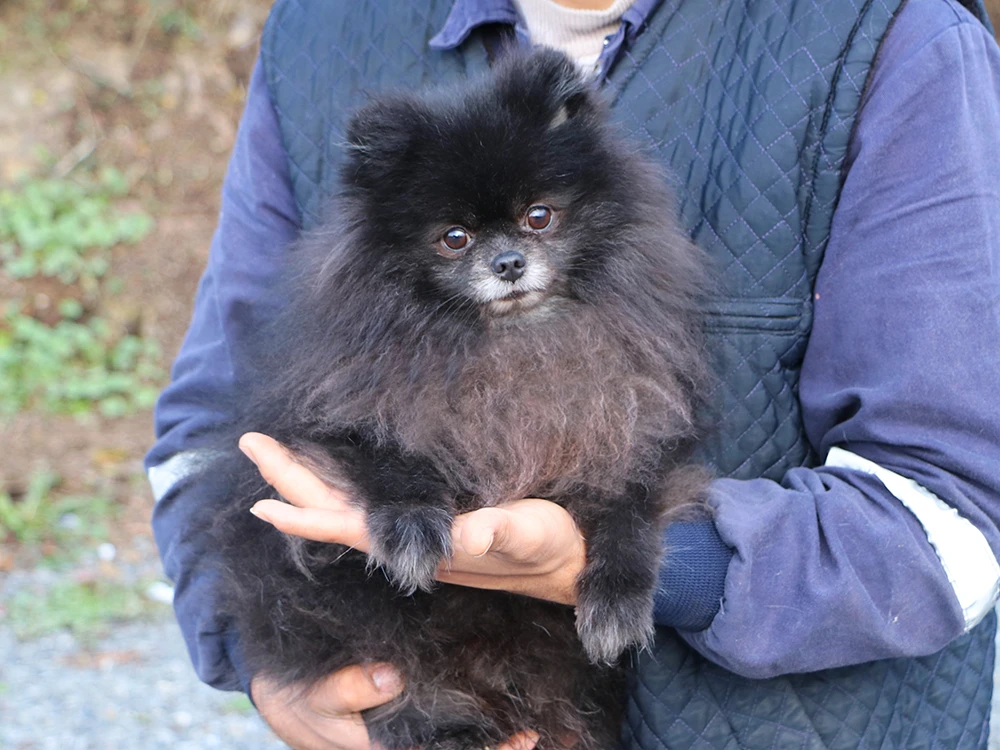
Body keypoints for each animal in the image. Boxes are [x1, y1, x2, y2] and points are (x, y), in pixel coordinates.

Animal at [207, 50, 712, 750]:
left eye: (538, 216)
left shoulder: (629, 435)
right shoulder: (327, 420)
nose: (508, 262)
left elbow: (627, 513)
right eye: (454, 237)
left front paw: (616, 597)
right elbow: (389, 454)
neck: (510, 348)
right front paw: (413, 523)